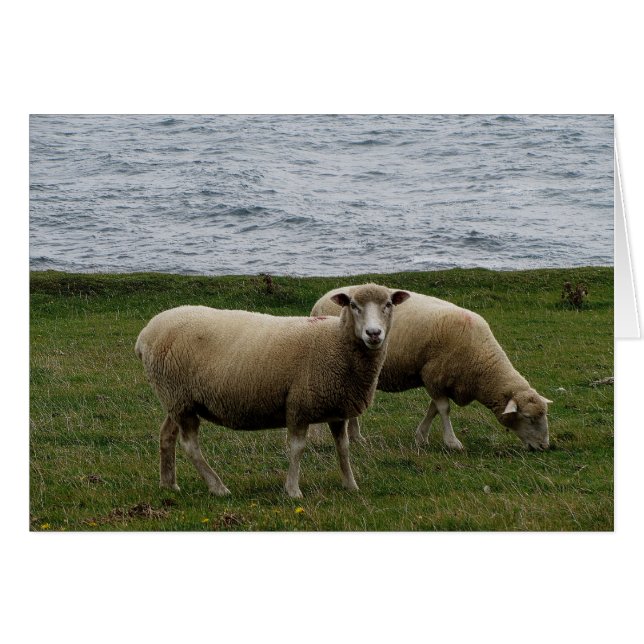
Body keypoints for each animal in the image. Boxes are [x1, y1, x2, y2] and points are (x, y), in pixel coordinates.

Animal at [135, 284, 410, 498]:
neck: (335, 341)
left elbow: (343, 447)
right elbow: (297, 448)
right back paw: (218, 487)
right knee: (190, 445)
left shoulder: (337, 408)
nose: (373, 333)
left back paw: (168, 484)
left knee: (167, 435)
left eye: (388, 304)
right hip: (178, 398)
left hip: (177, 398)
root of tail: (145, 334)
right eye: (353, 305)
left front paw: (350, 484)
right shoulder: (298, 404)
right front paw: (293, 490)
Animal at [309, 286, 552, 451]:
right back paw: (319, 439)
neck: (482, 362)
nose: (544, 447)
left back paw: (356, 437)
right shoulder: (433, 375)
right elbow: (443, 409)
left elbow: (433, 409)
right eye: (529, 418)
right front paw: (452, 442)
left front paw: (421, 437)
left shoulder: (442, 380)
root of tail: (320, 300)